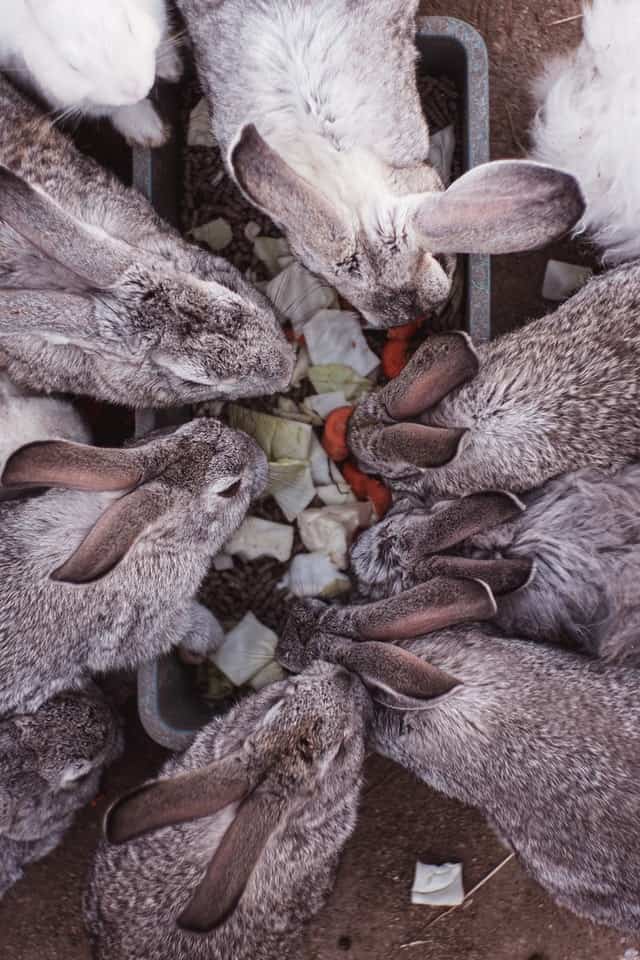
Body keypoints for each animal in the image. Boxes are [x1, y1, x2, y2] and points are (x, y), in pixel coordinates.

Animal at [0, 0, 182, 146]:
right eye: (71, 65)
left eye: (129, 25)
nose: (136, 89)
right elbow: (116, 109)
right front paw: (148, 130)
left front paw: (172, 67)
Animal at [0, 417, 266, 716]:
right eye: (231, 488)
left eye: (202, 423)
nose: (261, 455)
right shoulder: (141, 629)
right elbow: (183, 627)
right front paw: (209, 641)